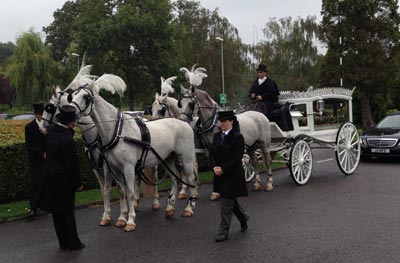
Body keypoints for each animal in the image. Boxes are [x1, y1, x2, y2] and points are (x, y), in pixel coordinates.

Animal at [70, 77, 198, 232]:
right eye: (72, 95)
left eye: (86, 96)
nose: (70, 111)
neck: (117, 131)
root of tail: (184, 123)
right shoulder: (114, 169)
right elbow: (121, 192)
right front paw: (121, 218)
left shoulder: (128, 168)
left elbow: (130, 193)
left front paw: (130, 221)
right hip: (168, 159)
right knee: (175, 180)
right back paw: (169, 208)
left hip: (186, 159)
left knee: (190, 180)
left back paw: (188, 208)